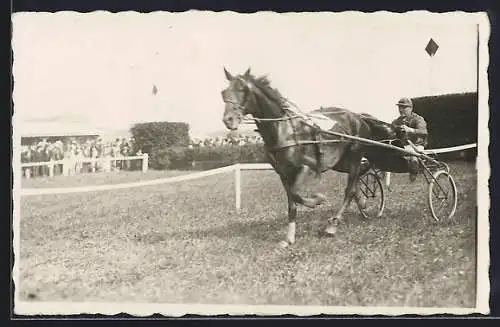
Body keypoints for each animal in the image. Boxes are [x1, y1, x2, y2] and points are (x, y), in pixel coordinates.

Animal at [221, 68, 400, 249]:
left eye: (243, 89)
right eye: (224, 93)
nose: (228, 119)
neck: (285, 130)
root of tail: (359, 117)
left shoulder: (306, 167)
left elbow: (296, 194)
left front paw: (318, 200)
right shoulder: (282, 172)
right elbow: (292, 199)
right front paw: (289, 237)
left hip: (355, 155)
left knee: (349, 189)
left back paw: (333, 224)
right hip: (340, 161)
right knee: (358, 177)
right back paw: (362, 201)